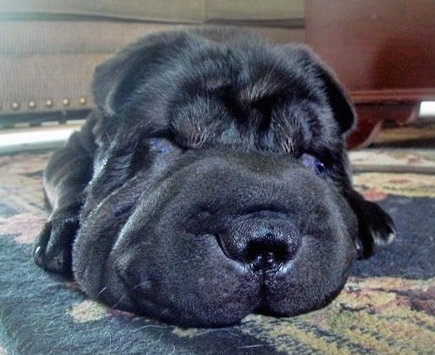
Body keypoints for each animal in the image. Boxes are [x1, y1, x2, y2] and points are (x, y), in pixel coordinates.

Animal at [33, 28, 396, 328]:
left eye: (313, 159)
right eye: (166, 143)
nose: (265, 241)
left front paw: (366, 212)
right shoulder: (72, 147)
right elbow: (71, 180)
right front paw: (62, 231)